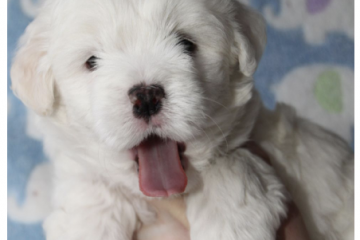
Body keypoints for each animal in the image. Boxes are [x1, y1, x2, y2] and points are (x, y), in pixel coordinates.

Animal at [10, 0, 352, 240]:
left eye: (186, 44)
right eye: (92, 61)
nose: (146, 97)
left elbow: (232, 162)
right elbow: (92, 185)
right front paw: (88, 221)